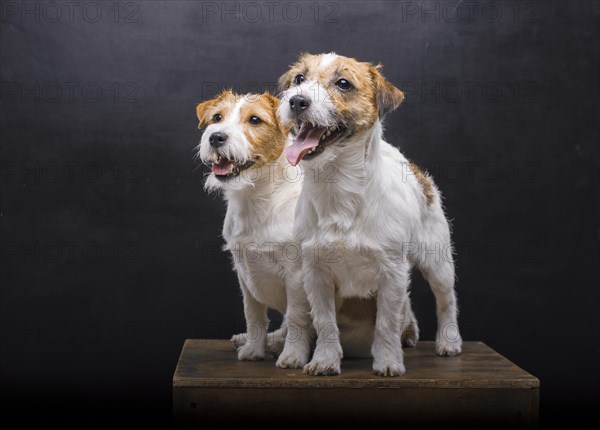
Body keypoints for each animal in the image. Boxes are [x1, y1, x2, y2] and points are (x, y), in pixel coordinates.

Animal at [197, 90, 314, 366]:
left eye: (254, 120)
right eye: (217, 117)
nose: (216, 137)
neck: (256, 197)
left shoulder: (296, 274)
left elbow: (297, 317)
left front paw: (293, 355)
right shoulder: (244, 274)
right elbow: (254, 316)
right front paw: (254, 348)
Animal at [278, 53, 464, 376]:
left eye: (343, 83)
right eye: (299, 79)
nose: (297, 101)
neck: (339, 189)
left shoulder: (392, 272)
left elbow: (387, 323)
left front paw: (387, 361)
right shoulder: (315, 273)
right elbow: (325, 322)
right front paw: (325, 360)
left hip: (437, 261)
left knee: (446, 300)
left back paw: (449, 341)